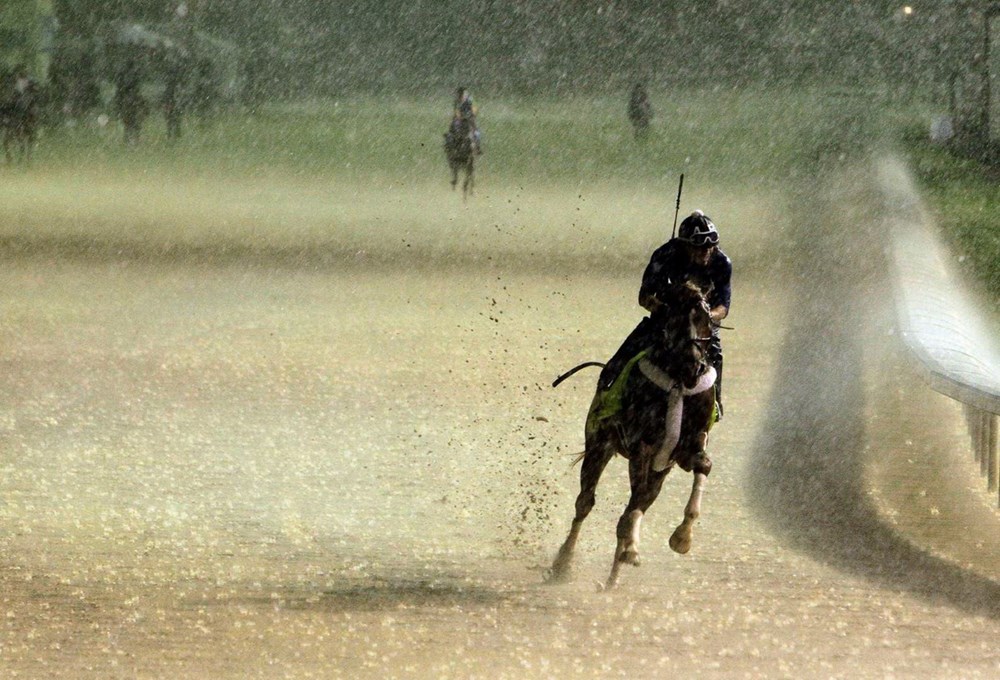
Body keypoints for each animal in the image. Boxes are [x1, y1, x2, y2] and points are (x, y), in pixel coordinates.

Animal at [548, 282, 720, 588]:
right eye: (673, 317)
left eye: (707, 319)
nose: (693, 366)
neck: (677, 383)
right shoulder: (641, 446)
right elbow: (633, 502)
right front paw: (633, 548)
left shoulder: (684, 450)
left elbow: (703, 465)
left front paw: (681, 538)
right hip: (599, 444)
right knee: (585, 503)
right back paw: (564, 564)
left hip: (659, 470)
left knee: (633, 504)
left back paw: (613, 578)